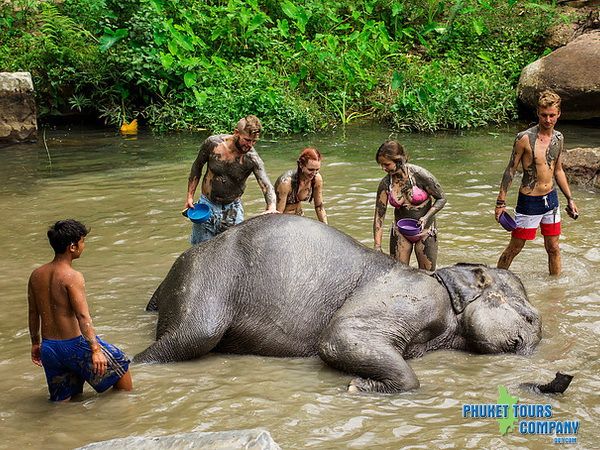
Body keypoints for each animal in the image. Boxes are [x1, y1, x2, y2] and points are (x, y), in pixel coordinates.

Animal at [137, 214, 544, 394]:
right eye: (529, 318)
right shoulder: (417, 297)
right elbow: (339, 335)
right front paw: (361, 386)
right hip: (207, 275)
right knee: (194, 336)